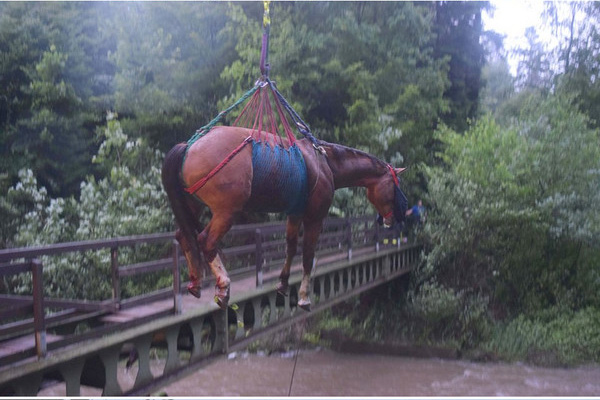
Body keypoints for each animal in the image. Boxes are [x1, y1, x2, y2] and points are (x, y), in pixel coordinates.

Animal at [162, 125, 410, 310]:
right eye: (394, 186)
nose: (396, 217)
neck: (325, 163)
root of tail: (190, 146)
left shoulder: (295, 212)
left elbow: (290, 246)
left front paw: (282, 282)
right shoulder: (315, 217)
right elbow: (308, 255)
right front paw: (304, 296)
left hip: (193, 204)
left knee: (184, 236)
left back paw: (195, 280)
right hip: (226, 211)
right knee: (206, 241)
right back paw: (223, 285)